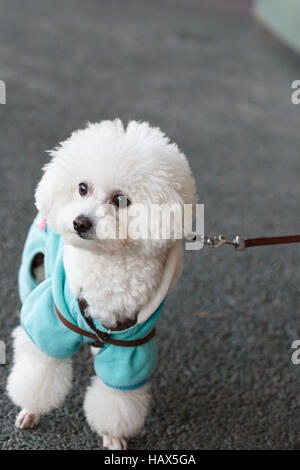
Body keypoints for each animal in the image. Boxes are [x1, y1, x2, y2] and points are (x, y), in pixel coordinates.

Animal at [6, 119, 197, 450]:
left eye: (120, 200)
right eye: (82, 187)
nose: (79, 222)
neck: (108, 265)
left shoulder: (131, 349)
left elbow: (116, 399)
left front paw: (113, 436)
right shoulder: (51, 320)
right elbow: (39, 370)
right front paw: (31, 409)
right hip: (33, 274)